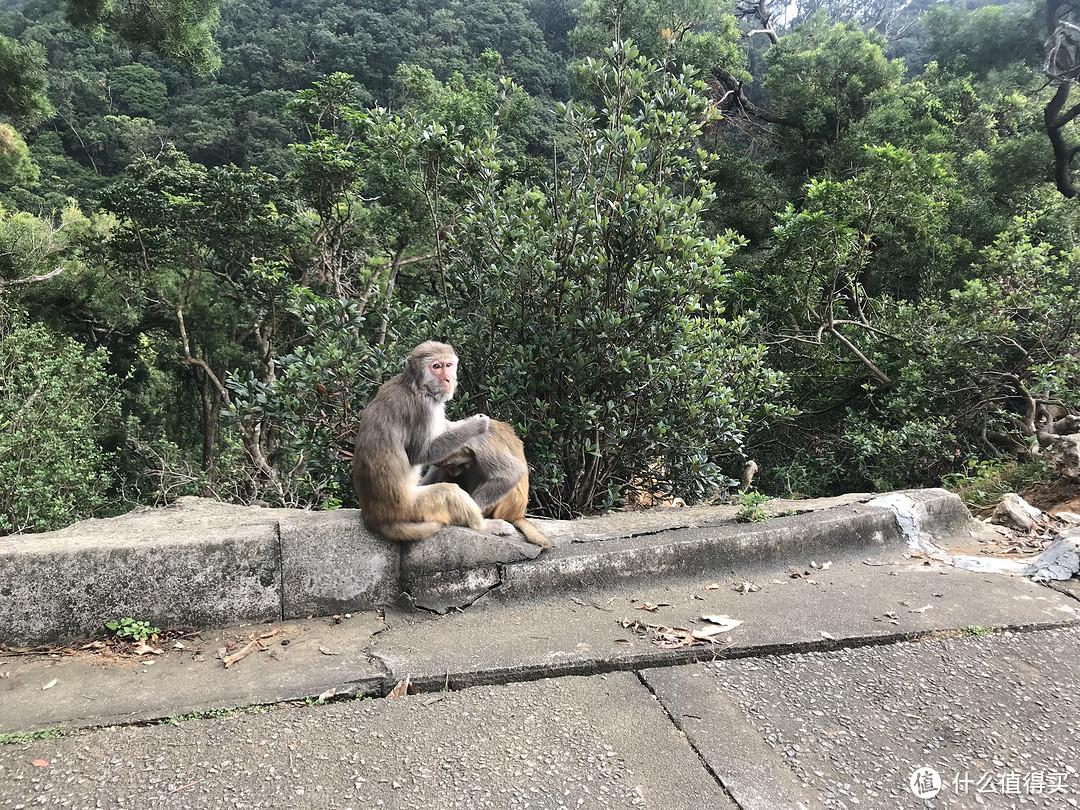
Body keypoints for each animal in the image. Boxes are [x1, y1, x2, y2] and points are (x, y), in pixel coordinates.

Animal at [347, 339, 511, 542]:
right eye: (436, 367)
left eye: (448, 365)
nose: (448, 379)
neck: (416, 385)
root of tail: (374, 517)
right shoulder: (423, 409)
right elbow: (422, 453)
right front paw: (477, 425)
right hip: (411, 508)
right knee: (449, 493)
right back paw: (485, 525)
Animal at [421, 419, 557, 552]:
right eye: (447, 466)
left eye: (451, 464)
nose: (452, 472)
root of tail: (519, 515)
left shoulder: (484, 447)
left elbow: (511, 473)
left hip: (509, 506)